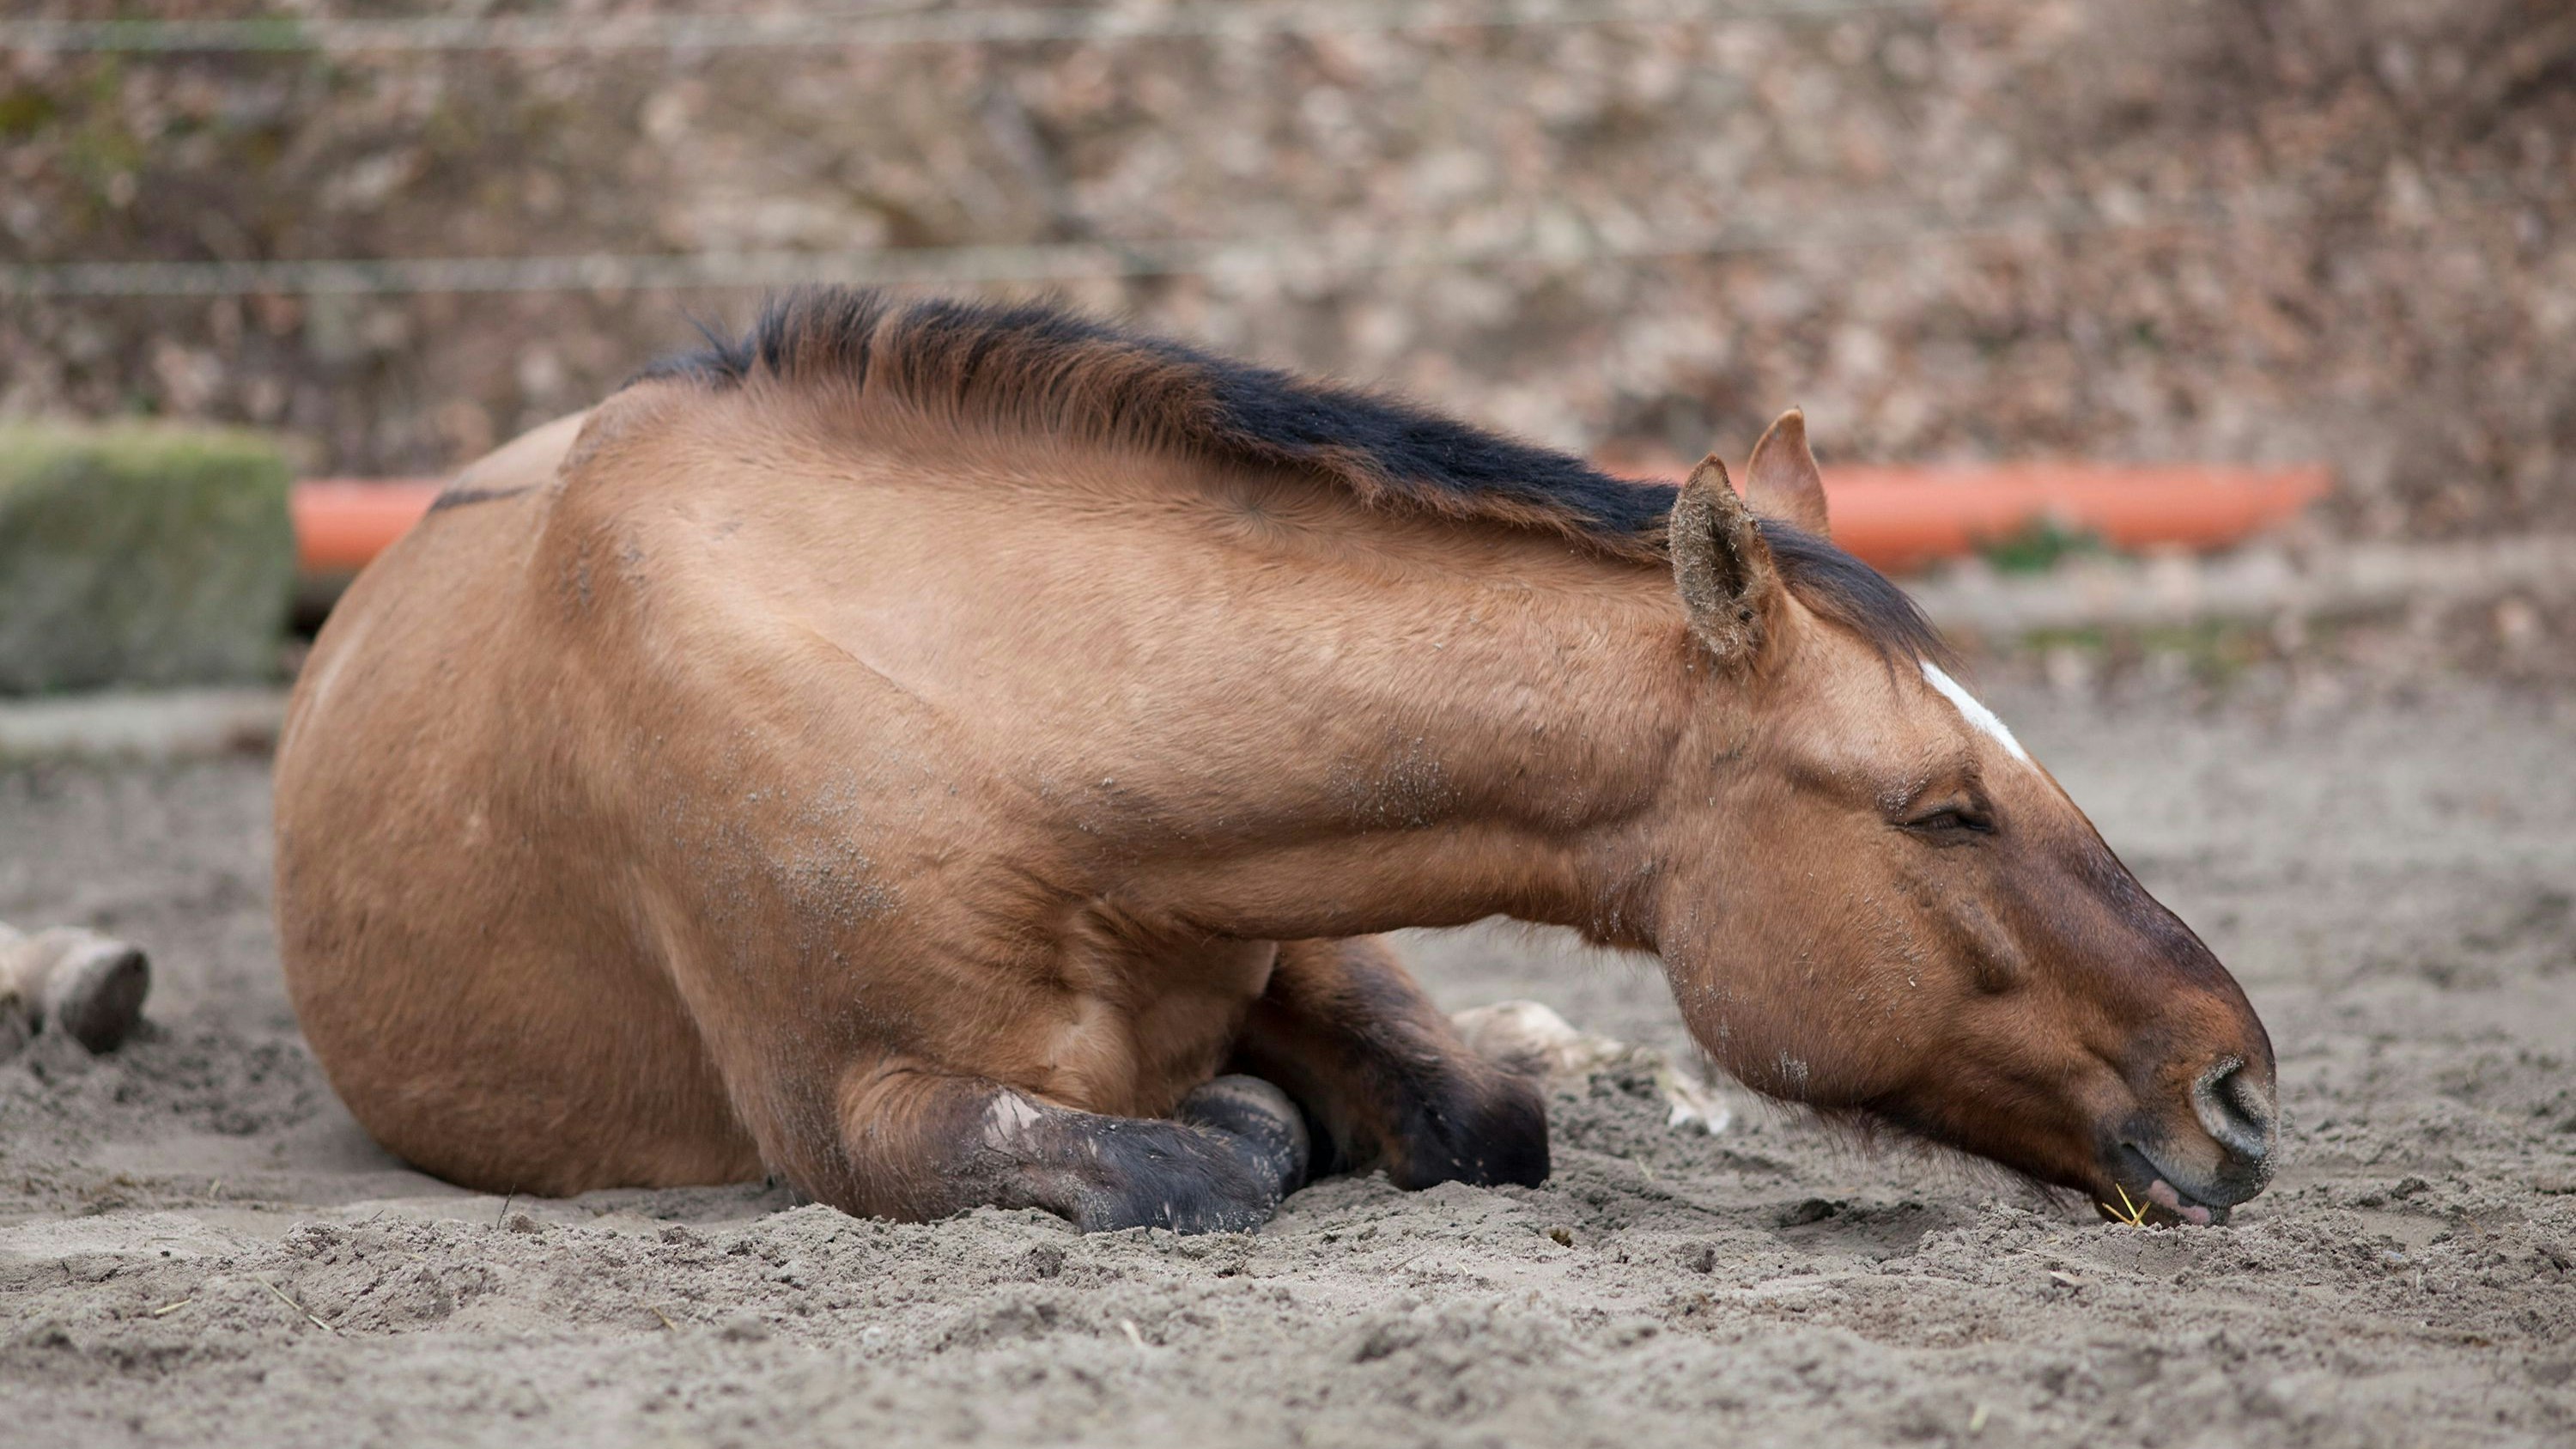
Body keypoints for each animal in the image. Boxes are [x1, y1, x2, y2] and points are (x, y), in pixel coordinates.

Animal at [266, 289, 2277, 1227]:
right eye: (1941, 808)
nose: (2241, 1091)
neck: (993, 715)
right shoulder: (853, 1114)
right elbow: (1201, 1154)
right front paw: (1253, 1123)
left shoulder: (1307, 913)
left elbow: (1481, 1113)